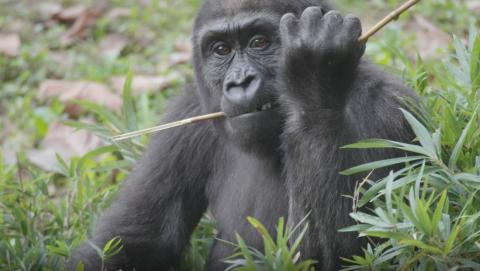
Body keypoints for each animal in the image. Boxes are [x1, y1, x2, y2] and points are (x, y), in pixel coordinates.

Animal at [70, 0, 416, 271]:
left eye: (259, 42)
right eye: (221, 49)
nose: (240, 82)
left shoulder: (383, 109)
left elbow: (352, 254)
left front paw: (316, 78)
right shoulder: (185, 116)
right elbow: (131, 243)